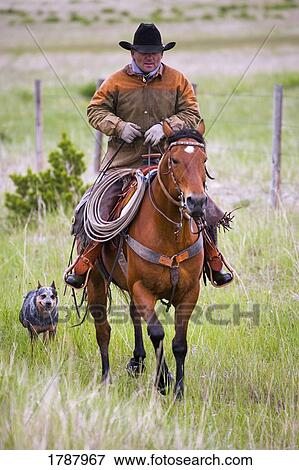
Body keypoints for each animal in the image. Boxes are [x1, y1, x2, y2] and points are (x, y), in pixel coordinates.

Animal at [87, 123, 209, 398]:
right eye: (174, 160)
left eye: (204, 160)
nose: (196, 202)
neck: (169, 232)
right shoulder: (142, 288)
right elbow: (157, 332)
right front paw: (163, 381)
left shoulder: (189, 292)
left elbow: (179, 343)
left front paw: (179, 390)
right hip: (95, 283)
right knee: (103, 331)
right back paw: (106, 378)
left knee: (133, 316)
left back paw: (138, 360)